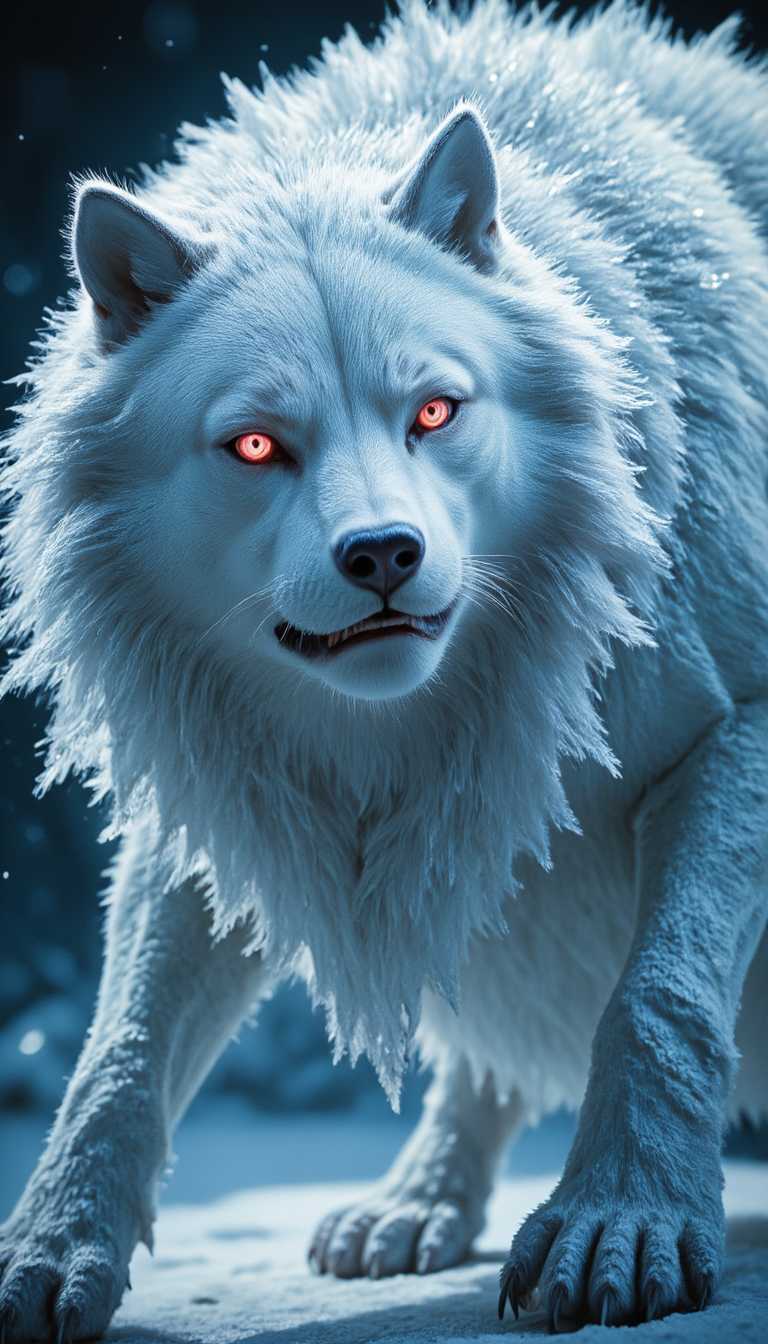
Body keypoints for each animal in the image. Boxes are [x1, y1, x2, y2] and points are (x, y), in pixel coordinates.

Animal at [1, 0, 766, 1336]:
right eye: (259, 446)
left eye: (435, 413)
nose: (383, 555)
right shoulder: (223, 786)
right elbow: (120, 1048)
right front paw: (55, 1244)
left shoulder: (743, 727)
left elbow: (658, 991)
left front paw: (622, 1219)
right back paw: (417, 1204)